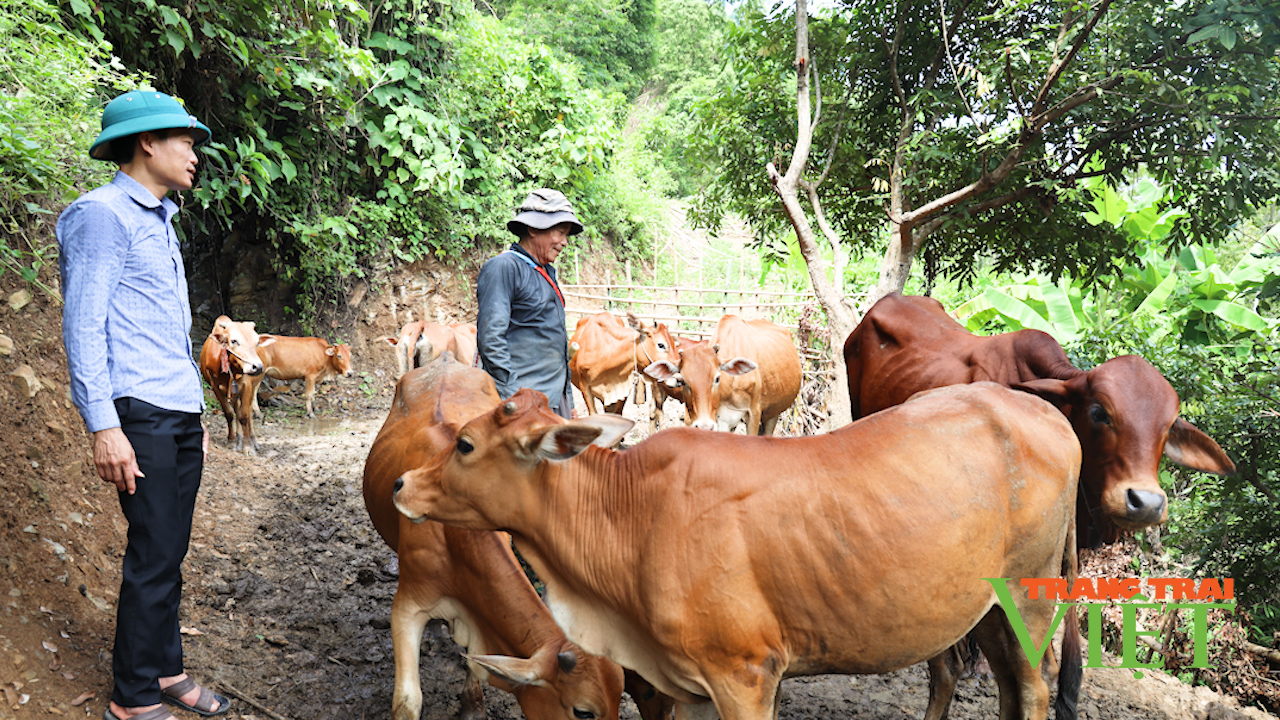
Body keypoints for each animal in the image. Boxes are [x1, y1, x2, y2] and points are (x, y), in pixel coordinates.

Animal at [198, 312, 276, 450]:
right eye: (234, 341)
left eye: (257, 342)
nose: (257, 367)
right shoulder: (215, 386)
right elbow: (229, 413)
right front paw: (232, 439)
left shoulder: (247, 385)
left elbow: (244, 415)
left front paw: (248, 446)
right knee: (237, 409)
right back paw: (239, 438)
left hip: (254, 387)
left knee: (248, 411)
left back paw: (252, 440)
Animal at [363, 353, 627, 717]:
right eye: (583, 711)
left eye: (620, 693)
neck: (451, 541)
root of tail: (445, 359)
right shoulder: (407, 606)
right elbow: (407, 702)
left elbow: (476, 663)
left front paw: (472, 703)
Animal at [389, 384, 1080, 717]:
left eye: (466, 445)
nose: (401, 484)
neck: (632, 516)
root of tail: (1048, 413)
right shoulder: (690, 686)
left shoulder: (746, 676)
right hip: (982, 612)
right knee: (1005, 690)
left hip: (1029, 601)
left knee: (1034, 691)